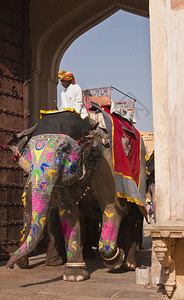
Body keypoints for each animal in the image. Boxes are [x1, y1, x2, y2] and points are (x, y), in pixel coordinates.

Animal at [5, 106, 147, 282]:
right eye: (29, 153)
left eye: (64, 150)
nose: (8, 266)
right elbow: (68, 213)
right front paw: (75, 275)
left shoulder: (107, 168)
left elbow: (113, 208)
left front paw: (115, 260)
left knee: (133, 215)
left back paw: (129, 265)